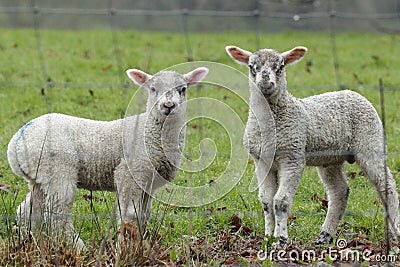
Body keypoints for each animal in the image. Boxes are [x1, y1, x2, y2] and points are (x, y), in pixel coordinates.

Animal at [227, 44, 398, 247]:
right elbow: (267, 201)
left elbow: (280, 201)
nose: (266, 85)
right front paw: (268, 237)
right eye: (252, 67)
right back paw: (325, 236)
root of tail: (352, 92)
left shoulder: (293, 156)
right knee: (340, 191)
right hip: (331, 158)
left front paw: (281, 240)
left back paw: (395, 233)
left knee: (387, 185)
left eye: (281, 66)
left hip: (370, 141)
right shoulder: (261, 159)